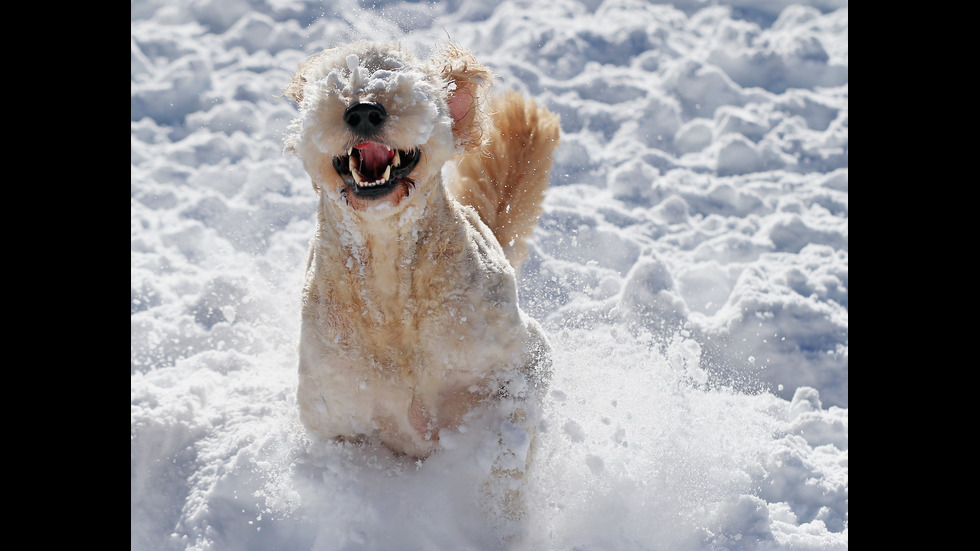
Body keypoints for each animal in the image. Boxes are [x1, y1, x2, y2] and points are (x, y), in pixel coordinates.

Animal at [284, 41, 560, 516]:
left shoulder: (524, 361)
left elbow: (504, 447)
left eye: (406, 80)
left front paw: (494, 511)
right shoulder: (336, 421)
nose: (363, 110)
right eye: (334, 80)